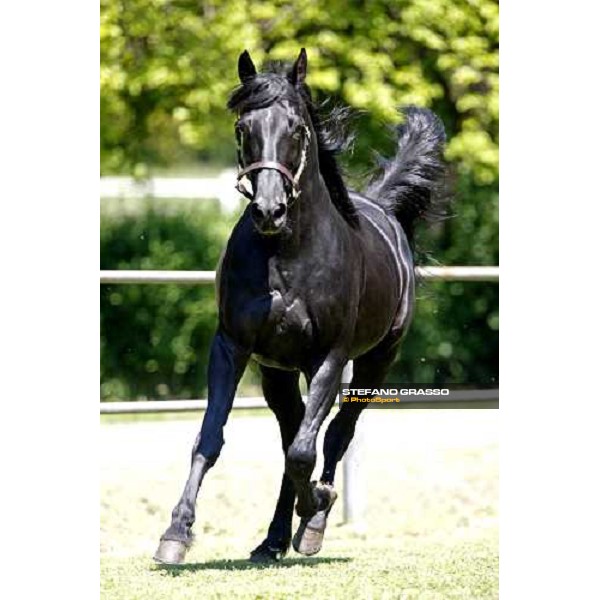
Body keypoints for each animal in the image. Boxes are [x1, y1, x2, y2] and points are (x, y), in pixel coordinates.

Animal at [155, 49, 446, 564]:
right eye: (243, 127)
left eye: (296, 128)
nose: (269, 211)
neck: (286, 255)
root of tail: (386, 213)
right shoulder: (232, 347)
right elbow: (211, 438)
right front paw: (175, 534)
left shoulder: (328, 358)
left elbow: (306, 452)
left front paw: (316, 509)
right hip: (278, 373)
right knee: (293, 435)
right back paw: (271, 539)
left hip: (375, 363)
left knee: (335, 434)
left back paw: (311, 523)